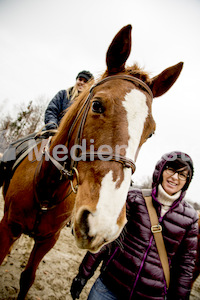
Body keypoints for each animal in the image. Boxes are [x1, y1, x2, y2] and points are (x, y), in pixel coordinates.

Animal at [0, 25, 184, 298]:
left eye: (150, 132)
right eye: (97, 105)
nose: (102, 222)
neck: (47, 190)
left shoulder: (48, 240)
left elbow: (27, 279)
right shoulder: (8, 226)